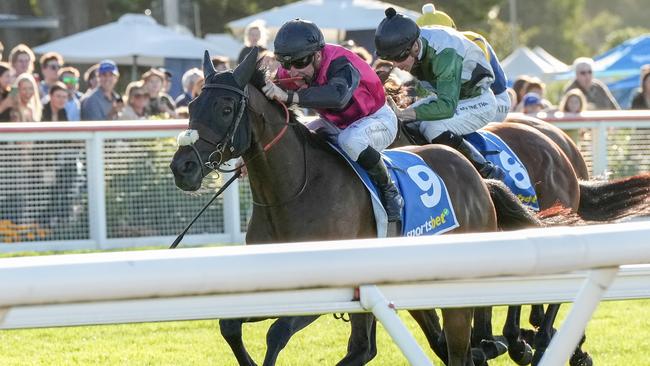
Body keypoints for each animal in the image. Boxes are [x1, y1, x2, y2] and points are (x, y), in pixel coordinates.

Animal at [170, 50, 544, 366]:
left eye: (225, 109)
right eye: (192, 105)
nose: (182, 167)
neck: (293, 192)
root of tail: (477, 177)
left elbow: (276, 334)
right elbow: (229, 326)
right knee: (368, 348)